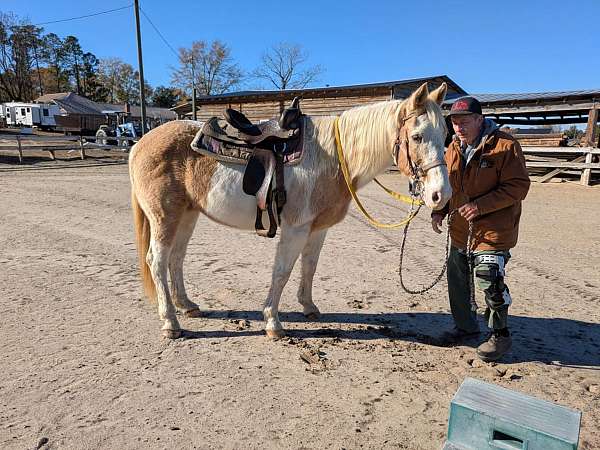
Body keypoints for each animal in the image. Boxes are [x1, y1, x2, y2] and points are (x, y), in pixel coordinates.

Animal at [130, 82, 450, 340]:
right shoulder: (296, 228)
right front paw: (273, 322)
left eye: (446, 135)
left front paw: (308, 307)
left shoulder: (318, 229)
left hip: (187, 214)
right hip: (164, 217)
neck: (333, 157)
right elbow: (282, 271)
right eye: (418, 136)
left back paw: (186, 306)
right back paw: (171, 323)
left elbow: (309, 267)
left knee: (176, 258)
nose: (441, 195)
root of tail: (139, 144)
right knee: (157, 260)